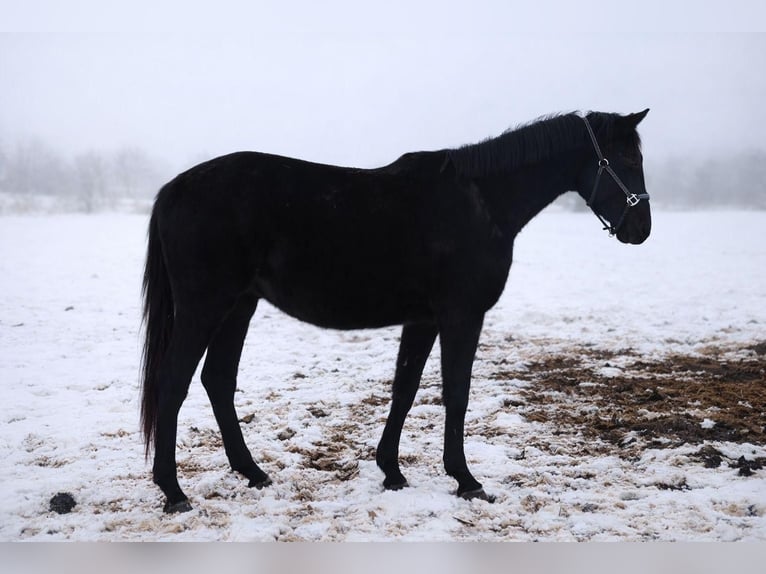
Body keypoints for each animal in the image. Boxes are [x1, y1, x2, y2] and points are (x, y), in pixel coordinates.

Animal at [140, 110, 652, 513]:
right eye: (627, 160)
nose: (641, 230)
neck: (481, 201)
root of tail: (173, 189)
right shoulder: (461, 316)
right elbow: (456, 394)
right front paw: (467, 480)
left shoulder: (422, 319)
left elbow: (404, 389)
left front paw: (392, 471)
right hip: (205, 306)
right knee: (174, 381)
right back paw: (173, 491)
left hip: (238, 306)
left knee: (218, 381)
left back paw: (252, 472)